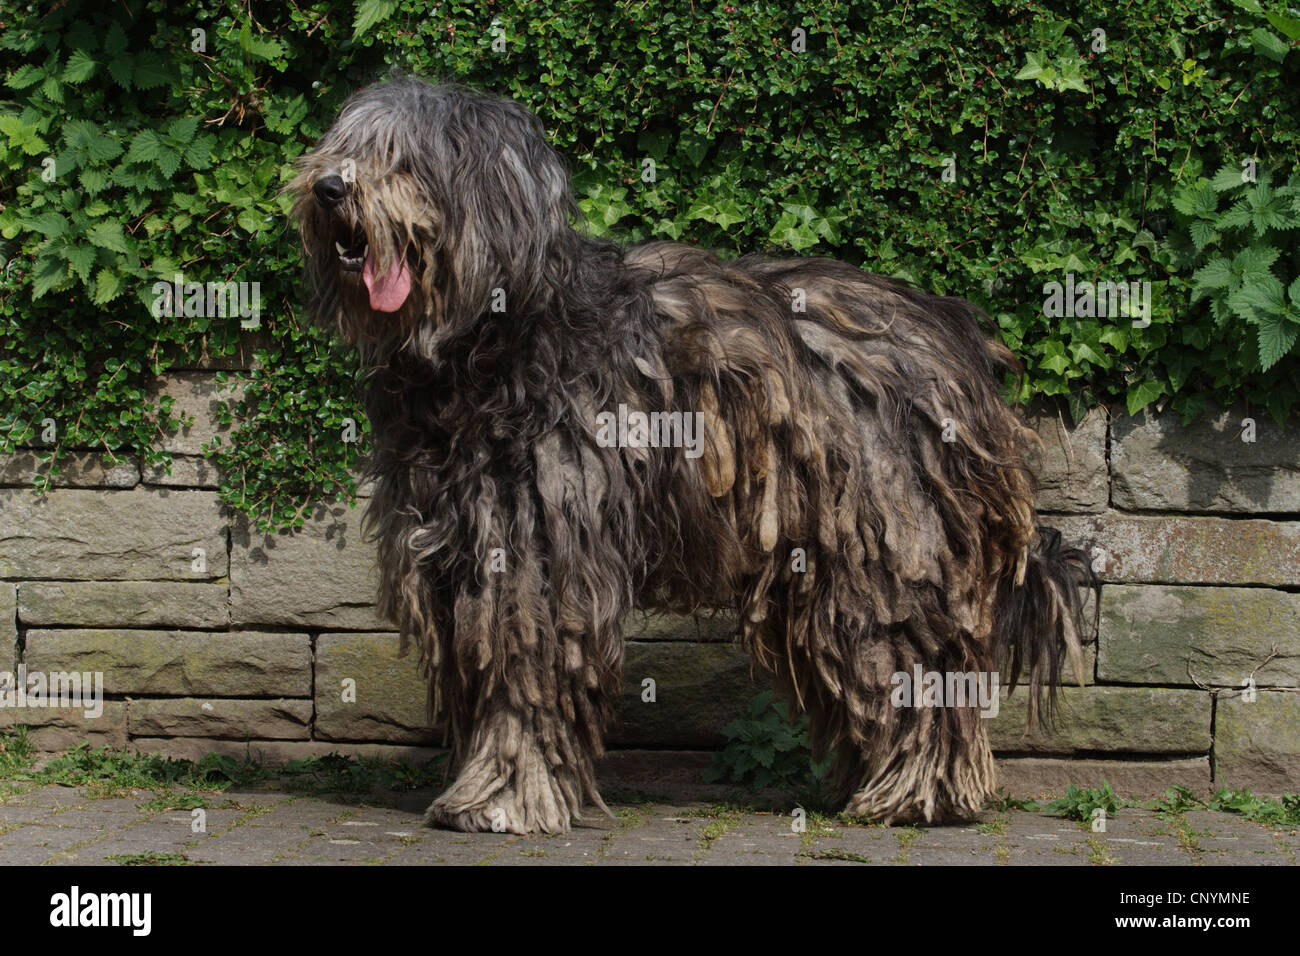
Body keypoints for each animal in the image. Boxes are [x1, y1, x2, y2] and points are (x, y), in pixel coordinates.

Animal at [289, 78, 1092, 832]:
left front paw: (503, 798)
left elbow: (524, 681)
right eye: (344, 144)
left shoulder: (535, 553)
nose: (328, 187)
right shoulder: (459, 547)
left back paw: (920, 794)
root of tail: (959, 343)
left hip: (890, 557)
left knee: (921, 671)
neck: (489, 340)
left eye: (404, 159)